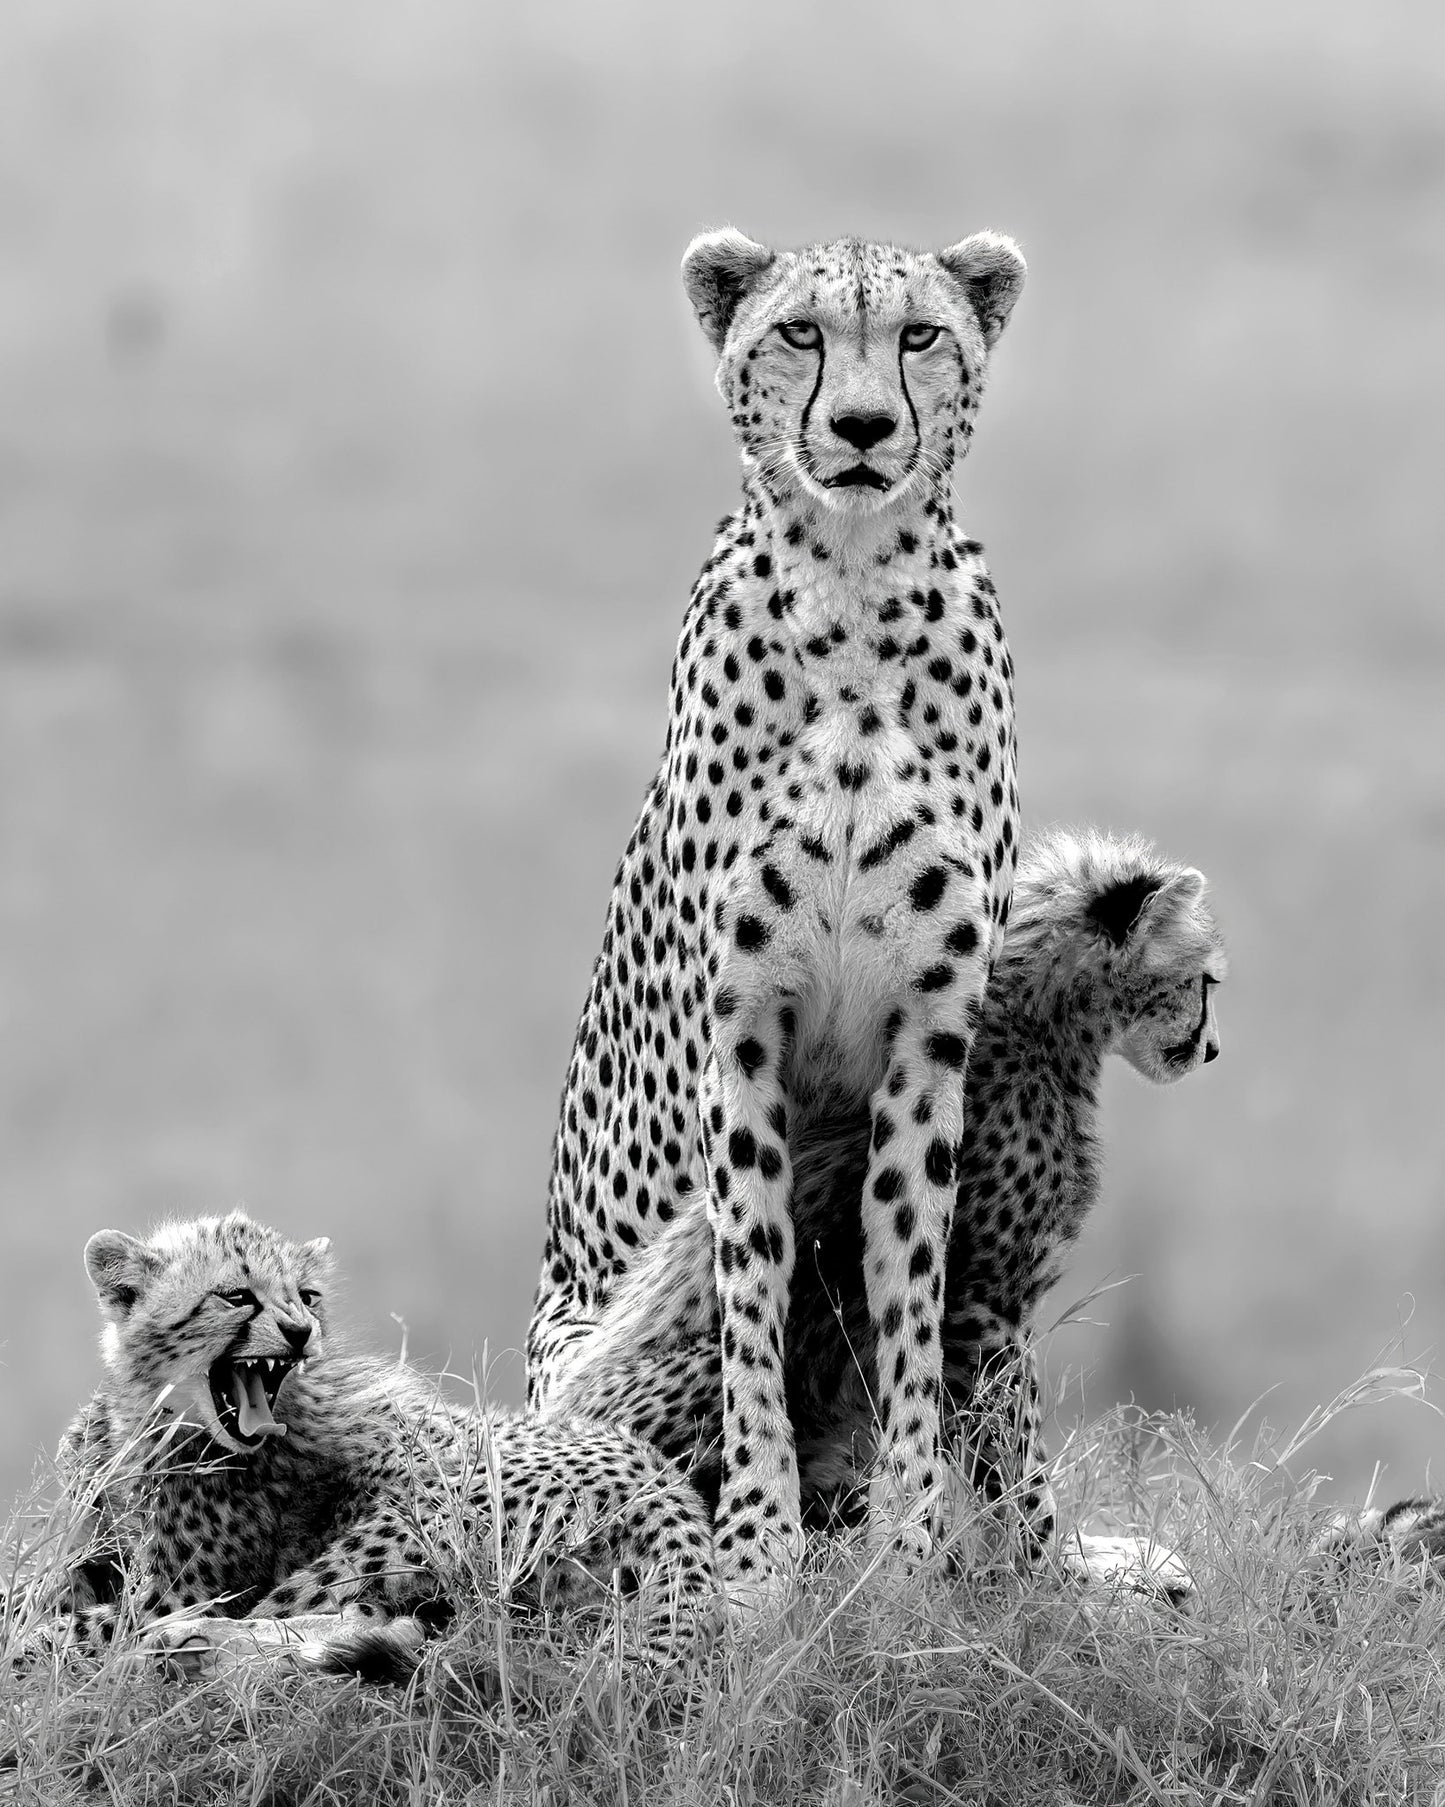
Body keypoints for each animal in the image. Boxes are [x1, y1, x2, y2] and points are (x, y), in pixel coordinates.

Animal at [30, 1212, 716, 1679]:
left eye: (306, 1297)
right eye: (236, 1295)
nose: (301, 1331)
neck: (154, 1416)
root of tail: (665, 1483)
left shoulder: (179, 1591)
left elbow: (67, 1627)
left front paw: (42, 1645)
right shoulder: (108, 1555)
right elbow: (49, 1589)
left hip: (406, 1520)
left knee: (309, 1615)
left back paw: (188, 1650)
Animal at [528, 227, 1029, 1600]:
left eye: (919, 335)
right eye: (798, 332)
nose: (859, 427)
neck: (853, 595)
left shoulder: (929, 1041)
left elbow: (905, 1285)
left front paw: (906, 1544)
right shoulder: (739, 1032)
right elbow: (747, 1290)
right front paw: (759, 1546)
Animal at [544, 826, 1225, 1599]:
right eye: (1206, 981)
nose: (1212, 1048)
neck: (1041, 1023)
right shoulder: (980, 1314)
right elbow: (1015, 1467)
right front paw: (1056, 1578)